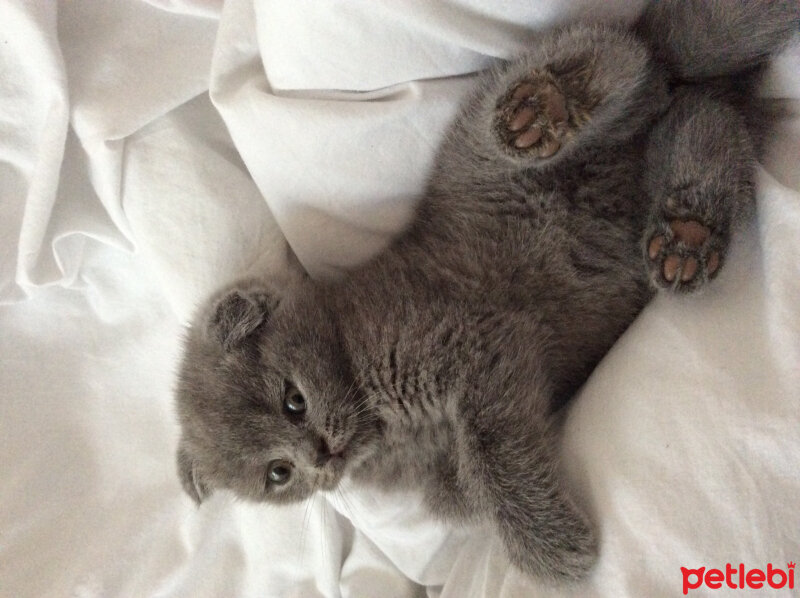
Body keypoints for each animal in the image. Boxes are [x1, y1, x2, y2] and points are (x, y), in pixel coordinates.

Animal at [172, 0, 796, 580]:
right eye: (278, 474)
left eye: (293, 402)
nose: (320, 455)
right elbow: (453, 494)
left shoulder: (475, 346)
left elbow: (491, 452)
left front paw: (549, 549)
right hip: (678, 131)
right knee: (701, 118)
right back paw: (685, 240)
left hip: (478, 146)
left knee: (620, 52)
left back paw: (545, 108)